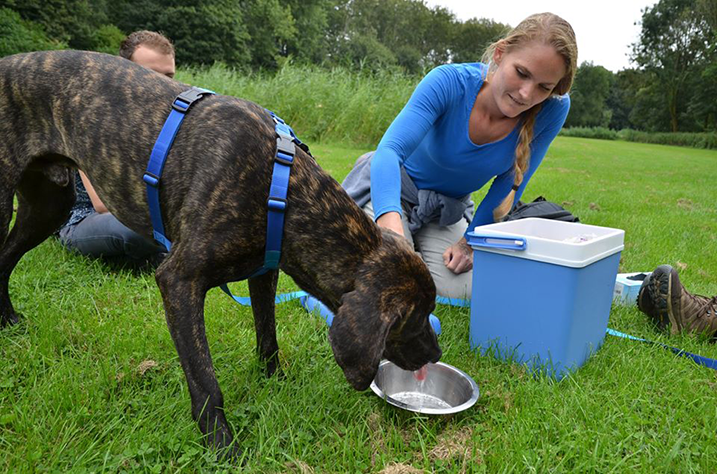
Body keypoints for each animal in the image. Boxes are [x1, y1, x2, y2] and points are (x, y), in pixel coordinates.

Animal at [0, 51, 442, 456]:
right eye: (414, 319)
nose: (436, 353)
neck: (282, 189)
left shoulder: (264, 271)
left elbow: (267, 337)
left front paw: (275, 383)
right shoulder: (179, 281)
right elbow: (204, 378)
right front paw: (221, 443)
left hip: (49, 205)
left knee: (5, 258)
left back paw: (8, 320)